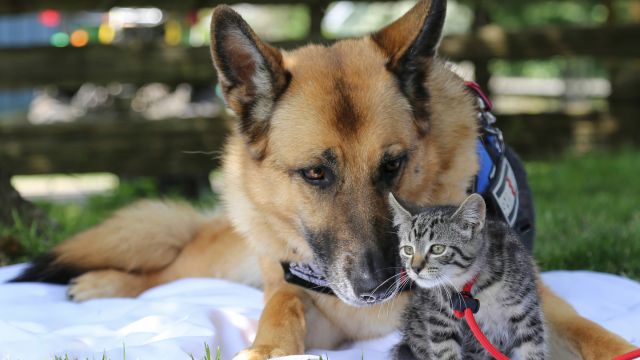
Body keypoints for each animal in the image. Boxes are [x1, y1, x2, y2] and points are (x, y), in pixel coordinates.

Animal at [388, 194, 548, 360]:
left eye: (437, 249)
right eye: (408, 250)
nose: (415, 268)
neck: (474, 286)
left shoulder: (525, 311)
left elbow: (532, 349)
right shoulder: (440, 318)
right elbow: (446, 351)